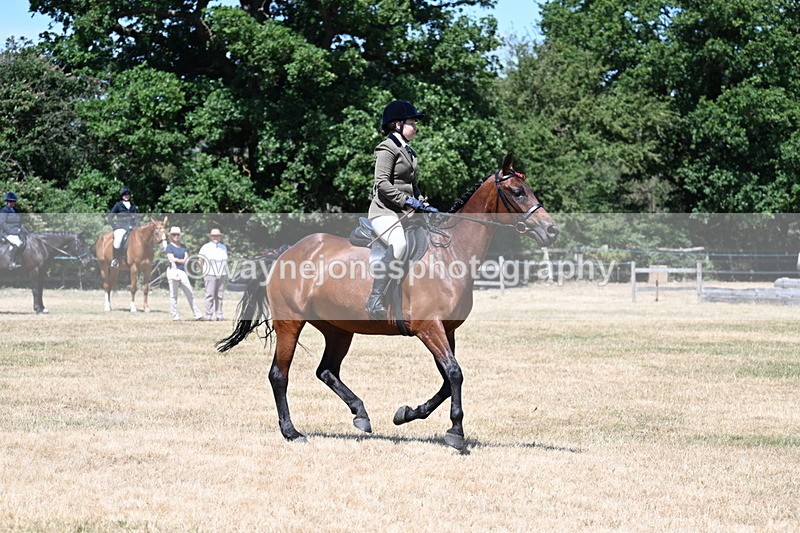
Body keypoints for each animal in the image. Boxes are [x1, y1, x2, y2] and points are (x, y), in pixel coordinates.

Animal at [217, 155, 560, 450]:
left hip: (338, 329)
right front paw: (455, 432)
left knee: (326, 371)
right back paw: (292, 432)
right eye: (517, 191)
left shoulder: (446, 330)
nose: (552, 230)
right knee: (280, 375)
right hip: (290, 322)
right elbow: (454, 373)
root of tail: (285, 253)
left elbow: (447, 378)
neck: (449, 254)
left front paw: (407, 413)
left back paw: (360, 414)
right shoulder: (428, 328)